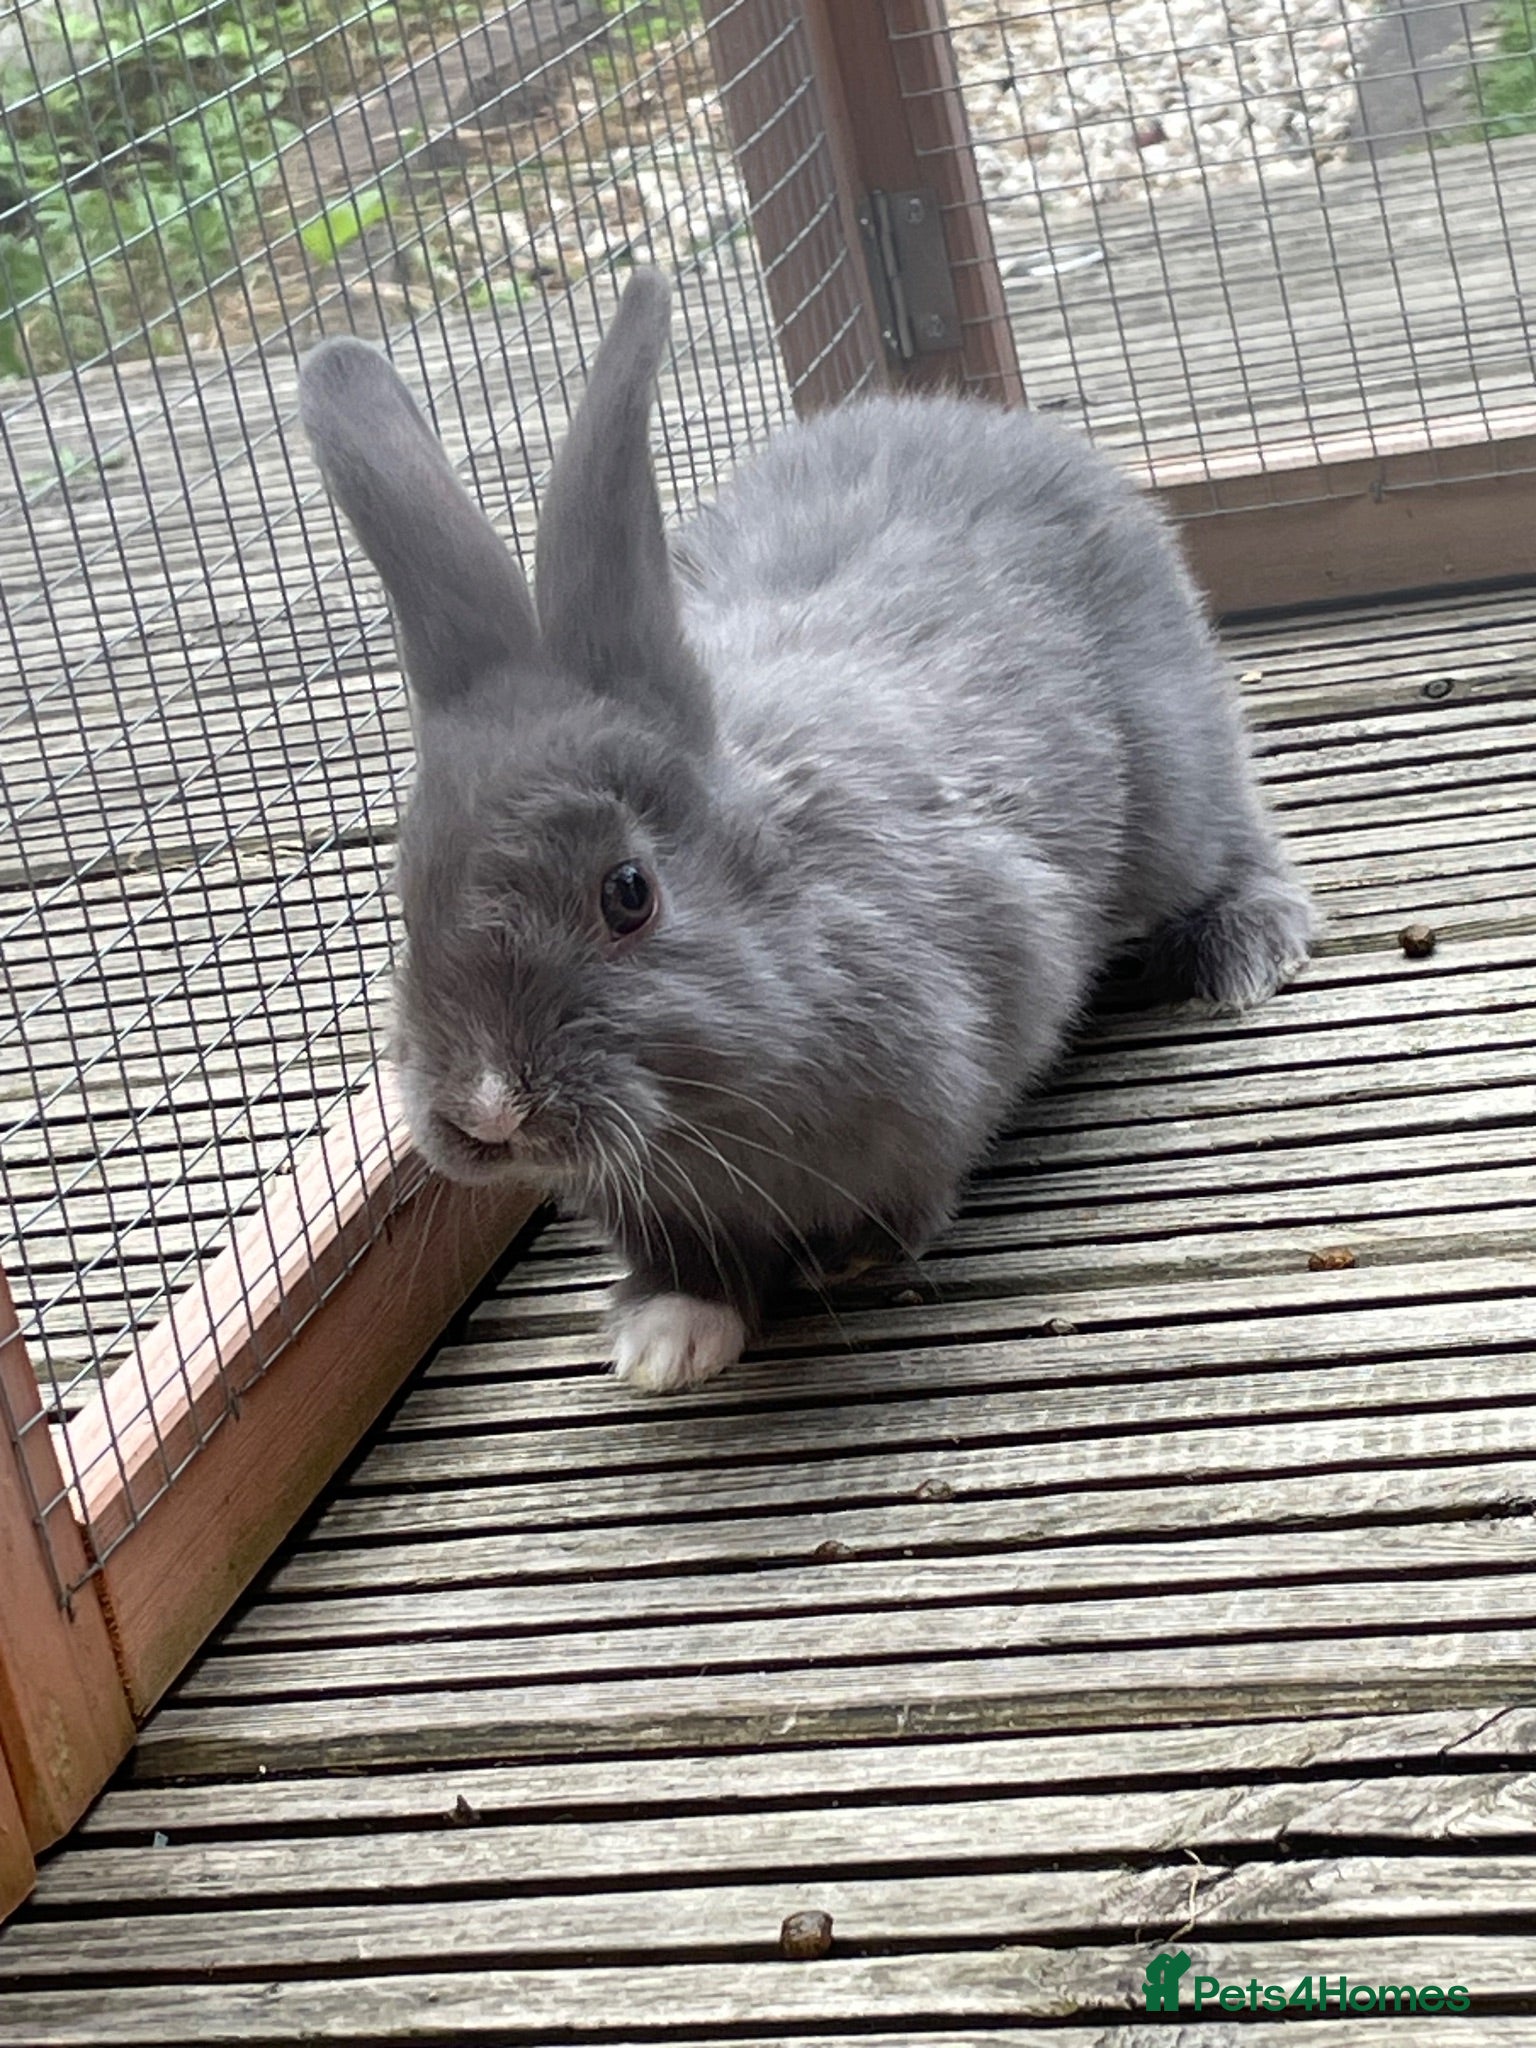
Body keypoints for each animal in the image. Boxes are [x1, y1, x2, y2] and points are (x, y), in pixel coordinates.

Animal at [299, 266, 1315, 1394]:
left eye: (627, 894)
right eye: (408, 900)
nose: (486, 1110)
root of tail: (990, 423)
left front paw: (847, 1261)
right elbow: (681, 1265)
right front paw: (667, 1338)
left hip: (1177, 787)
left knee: (1237, 841)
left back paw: (1242, 954)